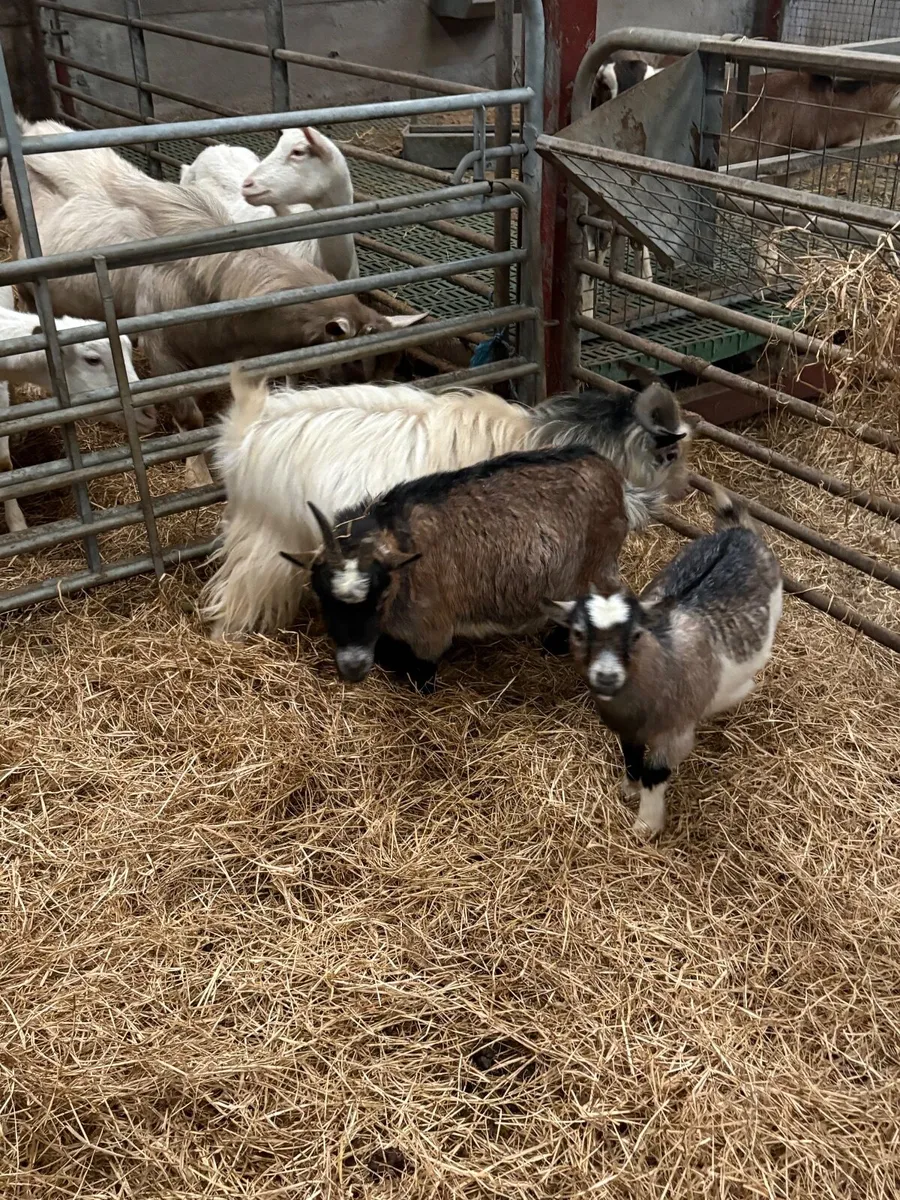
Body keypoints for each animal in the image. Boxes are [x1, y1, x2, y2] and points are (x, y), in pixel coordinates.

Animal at [287, 444, 661, 693]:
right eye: (323, 599)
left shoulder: (429, 627)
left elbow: (420, 670)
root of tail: (612, 474)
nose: (353, 667)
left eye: (379, 598)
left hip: (597, 564)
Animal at [545, 487, 782, 839]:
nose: (606, 676)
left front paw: (646, 825)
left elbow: (654, 773)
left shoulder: (673, 734)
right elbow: (632, 758)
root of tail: (737, 532)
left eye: (636, 634)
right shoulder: (629, 729)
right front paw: (629, 789)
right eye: (577, 633)